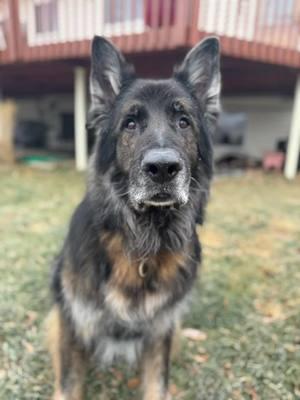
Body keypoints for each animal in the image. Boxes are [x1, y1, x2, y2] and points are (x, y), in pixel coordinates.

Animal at [47, 36, 220, 398]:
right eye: (130, 123)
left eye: (184, 122)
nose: (163, 168)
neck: (144, 242)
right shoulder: (74, 323)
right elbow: (68, 384)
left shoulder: (161, 331)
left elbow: (158, 383)